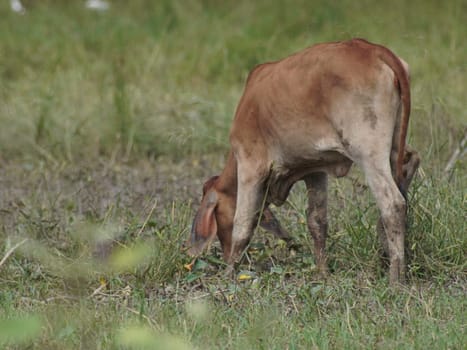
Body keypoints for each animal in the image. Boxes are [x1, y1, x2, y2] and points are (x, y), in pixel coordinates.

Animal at [188, 38, 422, 286]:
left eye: (217, 214)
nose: (224, 256)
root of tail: (372, 49)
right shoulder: (315, 169)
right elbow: (317, 221)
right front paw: (322, 272)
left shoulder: (250, 164)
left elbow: (242, 225)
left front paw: (229, 274)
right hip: (394, 146)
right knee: (410, 163)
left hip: (367, 151)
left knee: (393, 204)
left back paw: (396, 277)